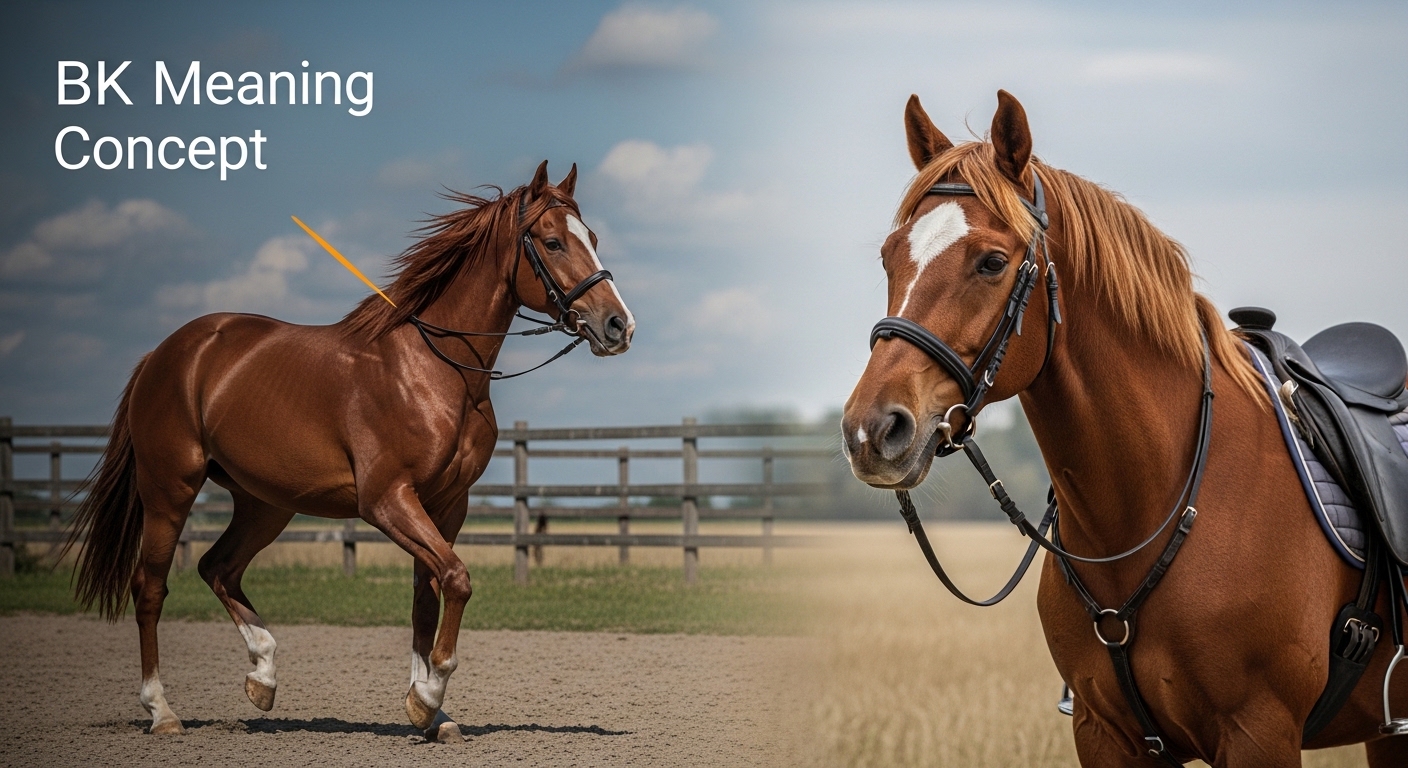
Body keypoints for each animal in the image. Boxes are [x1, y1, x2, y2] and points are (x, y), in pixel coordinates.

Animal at [64, 160, 635, 737]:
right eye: (553, 242)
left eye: (592, 238)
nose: (618, 325)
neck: (435, 371)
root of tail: (164, 355)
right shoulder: (386, 499)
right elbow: (456, 577)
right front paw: (429, 695)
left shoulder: (447, 504)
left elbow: (426, 596)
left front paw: (429, 710)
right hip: (170, 492)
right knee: (150, 588)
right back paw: (162, 710)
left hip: (265, 504)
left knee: (217, 568)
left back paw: (263, 676)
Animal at [841, 91, 1408, 766]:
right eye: (888, 257)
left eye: (993, 262)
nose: (872, 430)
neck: (1151, 507)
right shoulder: (1103, 731)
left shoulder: (1260, 731)